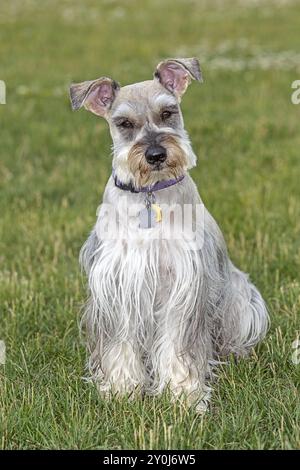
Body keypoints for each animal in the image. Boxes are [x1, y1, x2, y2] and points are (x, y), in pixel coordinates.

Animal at [70, 57, 270, 412]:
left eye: (168, 112)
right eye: (124, 123)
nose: (155, 155)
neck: (149, 195)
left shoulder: (183, 282)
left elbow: (179, 345)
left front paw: (182, 395)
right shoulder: (118, 283)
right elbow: (120, 344)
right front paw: (122, 390)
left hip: (241, 297)